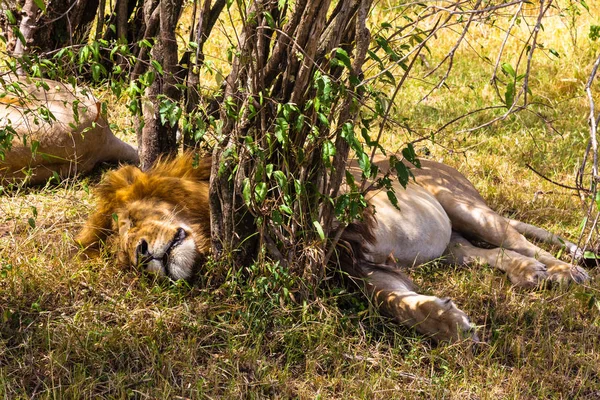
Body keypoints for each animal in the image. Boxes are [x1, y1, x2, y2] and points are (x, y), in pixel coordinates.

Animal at [77, 153, 588, 340]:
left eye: (132, 219)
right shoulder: (354, 268)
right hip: (453, 244)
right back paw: (527, 275)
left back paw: (566, 272)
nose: (144, 254)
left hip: (460, 204)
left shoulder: (346, 233)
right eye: (123, 255)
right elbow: (390, 300)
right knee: (492, 254)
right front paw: (448, 323)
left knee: (518, 239)